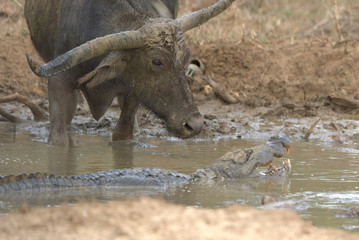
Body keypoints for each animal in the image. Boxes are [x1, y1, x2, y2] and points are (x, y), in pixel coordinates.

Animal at [23, 0, 235, 145]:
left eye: (185, 57)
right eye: (156, 61)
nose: (195, 124)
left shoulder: (133, 91)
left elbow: (122, 135)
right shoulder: (59, 82)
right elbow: (59, 140)